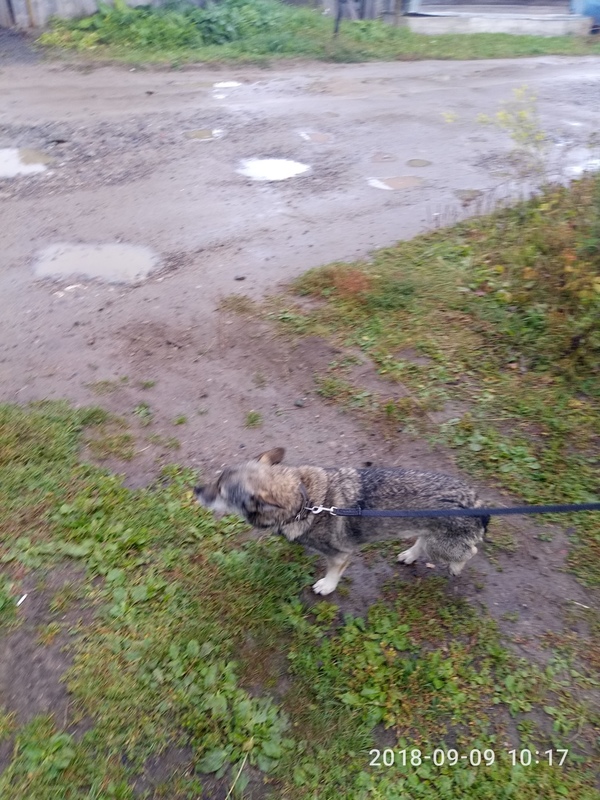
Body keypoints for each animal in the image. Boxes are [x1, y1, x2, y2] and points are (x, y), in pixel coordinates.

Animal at [194, 448, 489, 595]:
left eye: (221, 492)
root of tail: (477, 502)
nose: (195, 489)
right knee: (423, 542)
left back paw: (455, 567)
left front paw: (327, 586)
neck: (305, 501)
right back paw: (409, 555)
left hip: (444, 547)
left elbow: (333, 573)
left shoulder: (340, 555)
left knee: (470, 551)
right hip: (431, 536)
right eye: (216, 479)